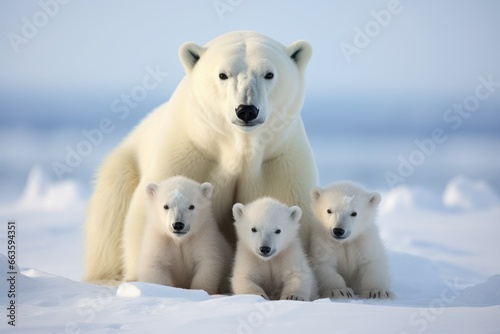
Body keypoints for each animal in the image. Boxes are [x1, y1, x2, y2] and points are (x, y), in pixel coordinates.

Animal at [82, 30, 316, 282]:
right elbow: (145, 219)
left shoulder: (277, 162)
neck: (238, 147)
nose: (246, 110)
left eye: (269, 74)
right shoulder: (192, 154)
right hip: (123, 167)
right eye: (223, 74)